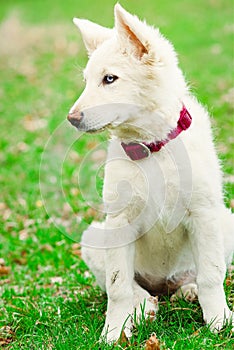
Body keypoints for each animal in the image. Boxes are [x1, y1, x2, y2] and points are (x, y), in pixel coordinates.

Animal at [66, 3, 233, 342]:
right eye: (87, 80)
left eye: (110, 79)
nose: (71, 118)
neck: (152, 148)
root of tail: (162, 283)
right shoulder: (119, 220)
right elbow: (117, 287)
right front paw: (113, 332)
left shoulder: (204, 213)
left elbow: (211, 273)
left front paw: (218, 322)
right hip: (94, 237)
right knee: (130, 286)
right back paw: (145, 304)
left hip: (226, 223)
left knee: (194, 276)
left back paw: (188, 291)